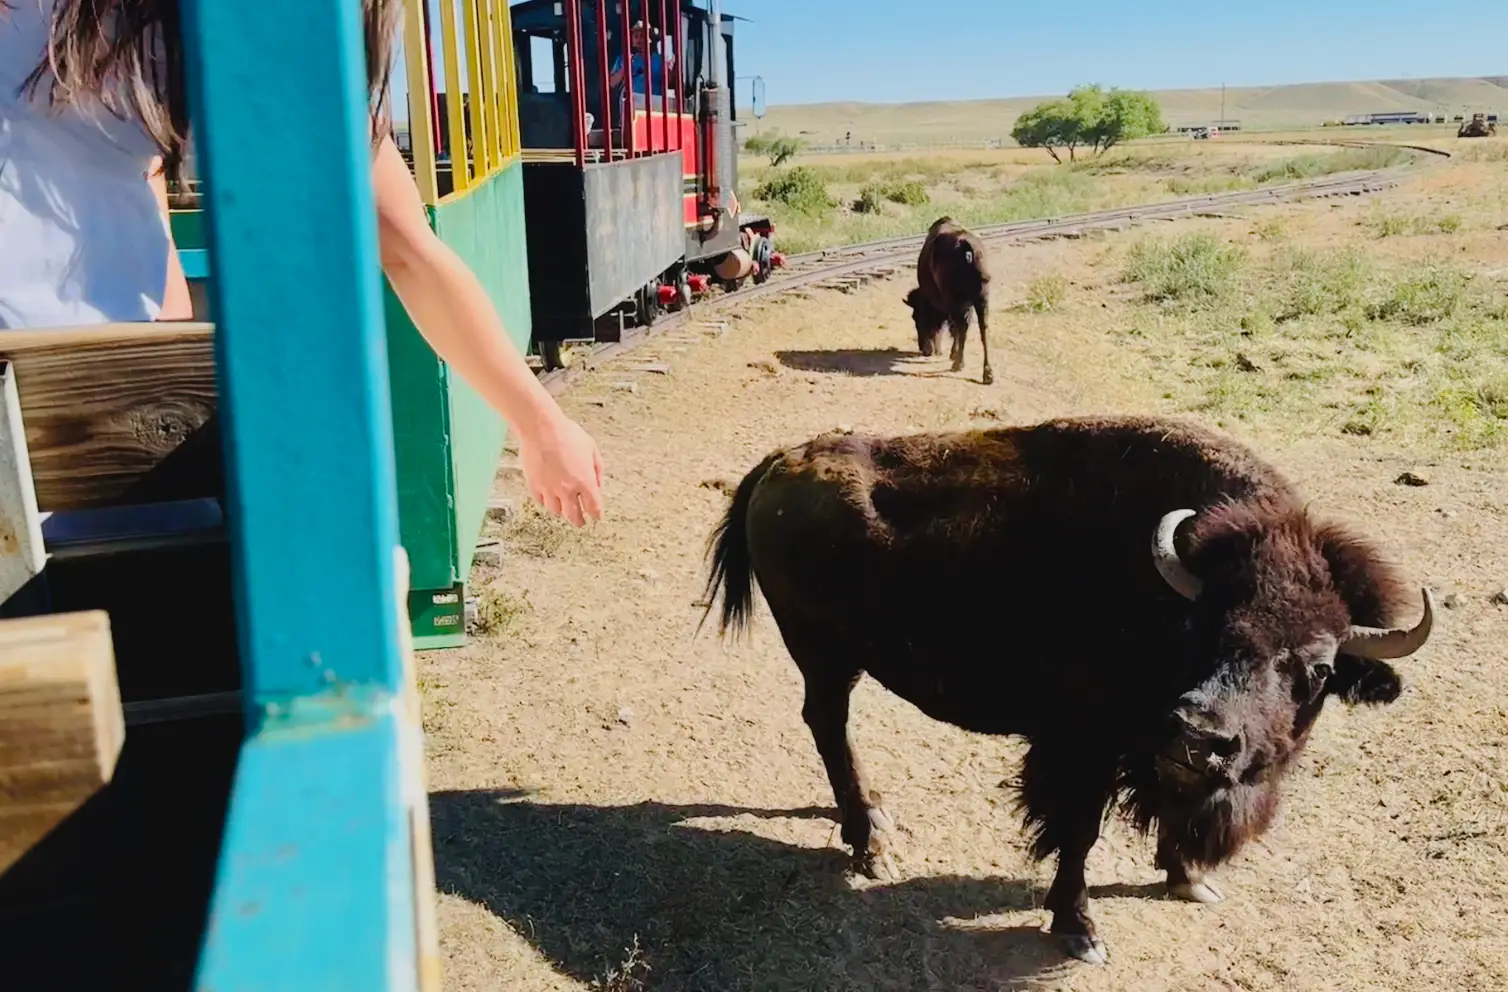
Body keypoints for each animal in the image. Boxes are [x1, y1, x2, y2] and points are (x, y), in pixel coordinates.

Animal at [701, 414, 1434, 966]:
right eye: (1205, 627)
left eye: (1318, 670)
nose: (1201, 737)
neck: (1163, 597)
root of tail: (781, 463)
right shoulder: (1085, 748)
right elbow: (1078, 833)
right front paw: (1080, 929)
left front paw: (1188, 881)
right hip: (825, 657)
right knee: (829, 724)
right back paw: (871, 842)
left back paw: (868, 821)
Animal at [904, 216, 993, 385]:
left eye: (916, 316)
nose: (924, 350)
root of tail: (967, 248)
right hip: (982, 299)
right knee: (982, 328)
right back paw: (988, 374)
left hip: (957, 302)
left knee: (961, 326)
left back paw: (958, 363)